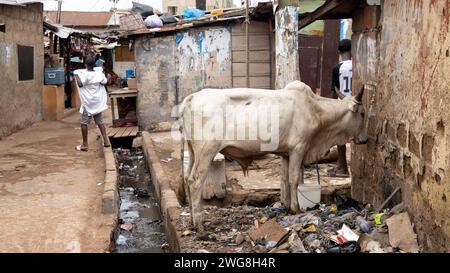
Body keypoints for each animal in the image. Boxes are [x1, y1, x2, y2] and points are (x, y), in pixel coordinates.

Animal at [178, 81, 368, 230]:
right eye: (362, 113)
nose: (365, 139)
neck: (316, 110)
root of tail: (191, 98)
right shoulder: (298, 148)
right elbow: (294, 179)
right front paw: (296, 208)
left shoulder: (286, 153)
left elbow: (285, 180)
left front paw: (286, 206)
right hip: (207, 151)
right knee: (195, 181)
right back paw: (200, 227)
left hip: (193, 151)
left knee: (187, 178)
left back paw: (191, 222)